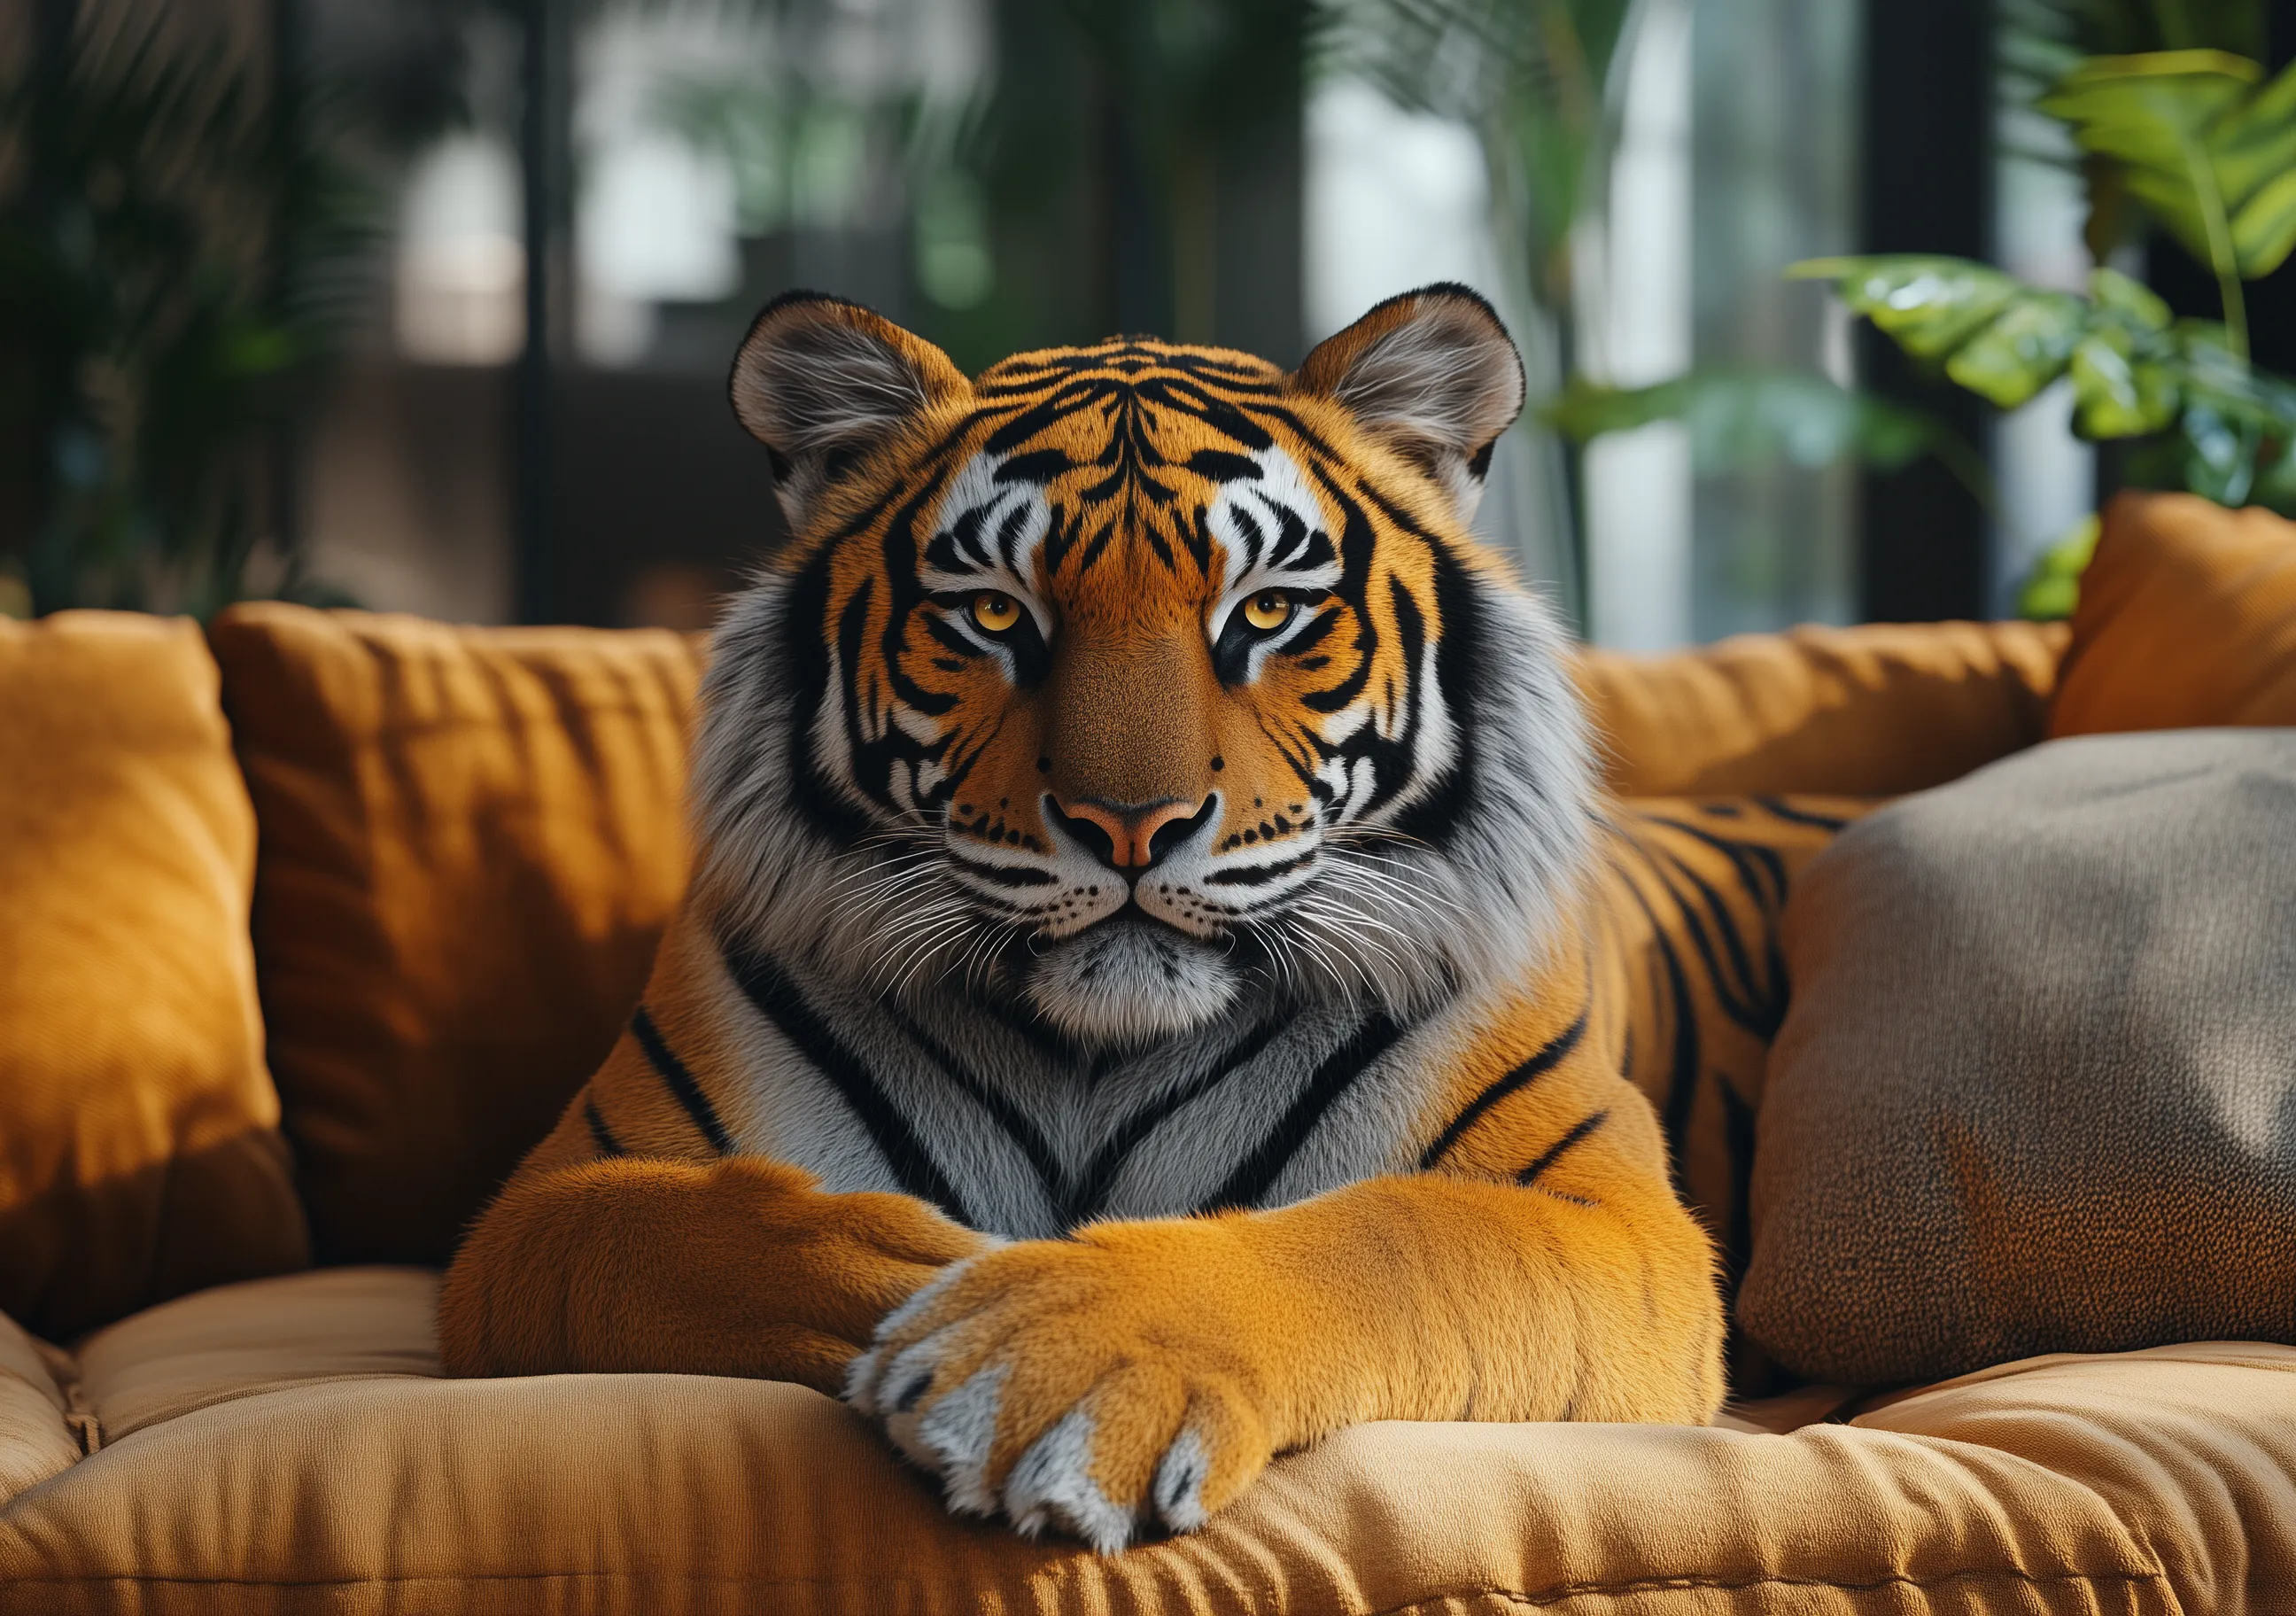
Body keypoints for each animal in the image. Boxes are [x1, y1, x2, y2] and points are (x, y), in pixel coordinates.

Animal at [437, 284, 1728, 1554]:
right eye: (995, 616)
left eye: (1266, 611)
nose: (1131, 827)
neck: (1094, 1057)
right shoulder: (558, 1197)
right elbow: (708, 1240)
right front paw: (928, 1281)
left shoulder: (1618, 1224)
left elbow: (1389, 1240)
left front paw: (1045, 1370)